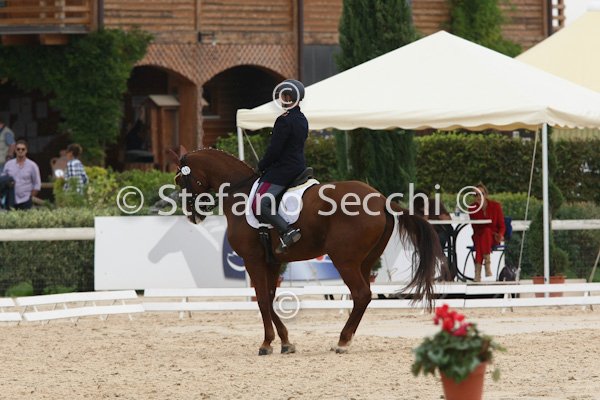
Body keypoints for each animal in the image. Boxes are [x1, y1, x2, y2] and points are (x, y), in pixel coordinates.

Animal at [170, 147, 446, 355]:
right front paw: (285, 341)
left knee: (361, 294)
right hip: (366, 261)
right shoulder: (273, 261)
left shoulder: (253, 260)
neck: (240, 193)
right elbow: (270, 297)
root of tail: (380, 199)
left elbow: (262, 300)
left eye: (181, 180)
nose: (192, 216)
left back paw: (342, 342)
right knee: (364, 295)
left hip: (344, 260)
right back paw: (345, 338)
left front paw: (266, 343)